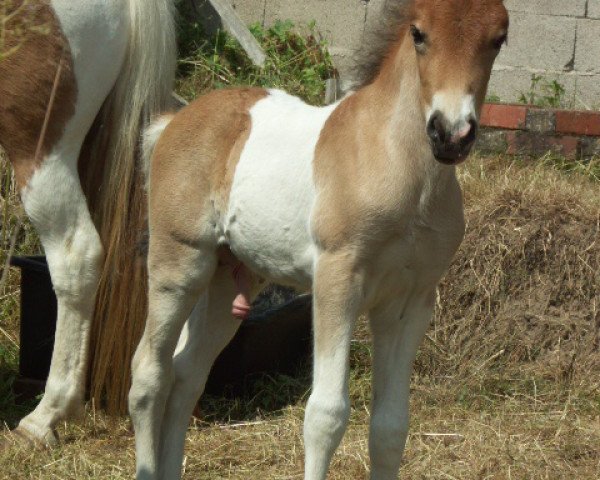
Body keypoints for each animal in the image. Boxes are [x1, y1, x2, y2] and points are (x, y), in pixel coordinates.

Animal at [132, 0, 510, 480]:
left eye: (498, 38)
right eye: (419, 34)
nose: (450, 134)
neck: (402, 171)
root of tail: (173, 120)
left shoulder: (411, 301)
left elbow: (391, 426)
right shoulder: (337, 280)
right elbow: (326, 415)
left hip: (226, 279)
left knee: (187, 375)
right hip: (179, 264)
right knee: (149, 372)